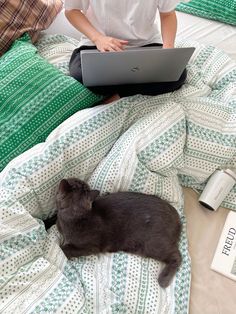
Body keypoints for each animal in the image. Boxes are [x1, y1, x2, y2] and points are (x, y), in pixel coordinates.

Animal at [46, 178, 183, 288]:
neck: (71, 219)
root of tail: (177, 217)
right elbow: (53, 217)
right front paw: (46, 221)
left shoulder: (90, 247)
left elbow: (63, 249)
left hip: (153, 244)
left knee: (177, 256)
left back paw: (163, 279)